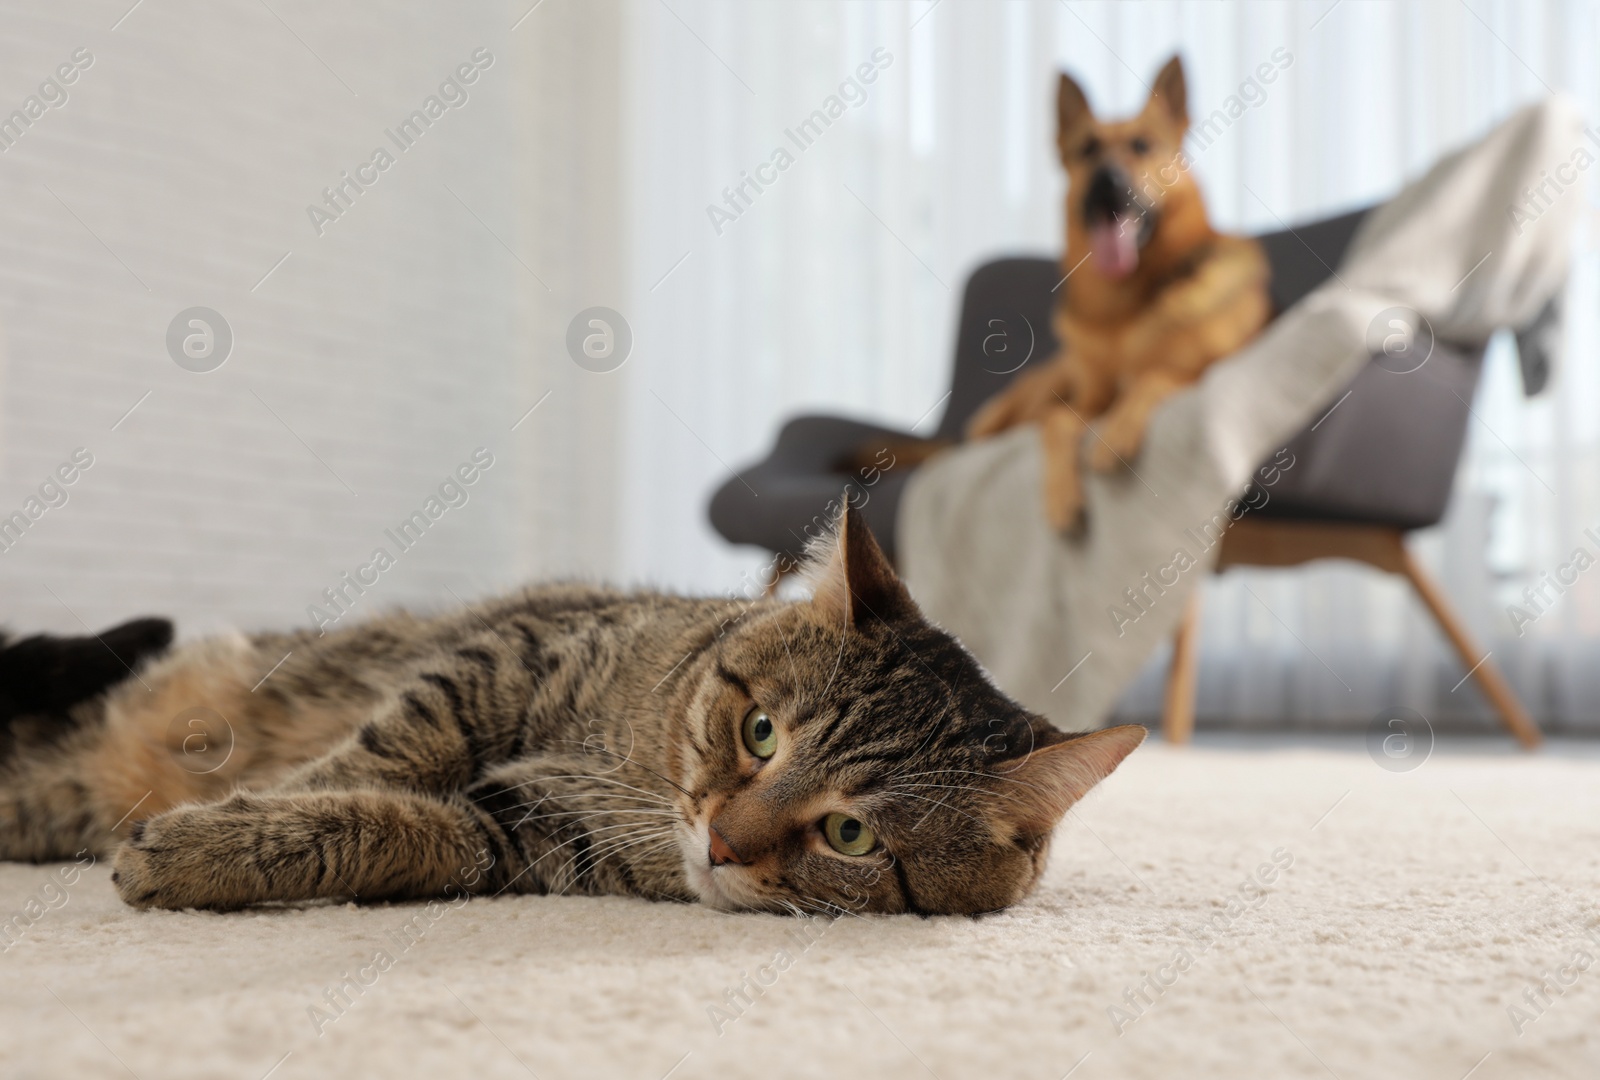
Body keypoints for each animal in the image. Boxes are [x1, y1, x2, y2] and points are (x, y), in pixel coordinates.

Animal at [0, 512, 1139, 915]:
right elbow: (376, 758)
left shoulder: (520, 837)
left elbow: (387, 826)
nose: (723, 840)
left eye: (851, 836)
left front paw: (218, 847)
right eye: (759, 732)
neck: (637, 767)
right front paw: (248, 812)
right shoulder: (504, 662)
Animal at [960, 58, 1273, 531]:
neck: (1124, 308)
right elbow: (1058, 421)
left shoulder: (1203, 369)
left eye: (1142, 146)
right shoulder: (1088, 401)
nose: (1108, 180)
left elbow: (1154, 377)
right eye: (1087, 149)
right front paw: (1061, 496)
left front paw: (1113, 438)